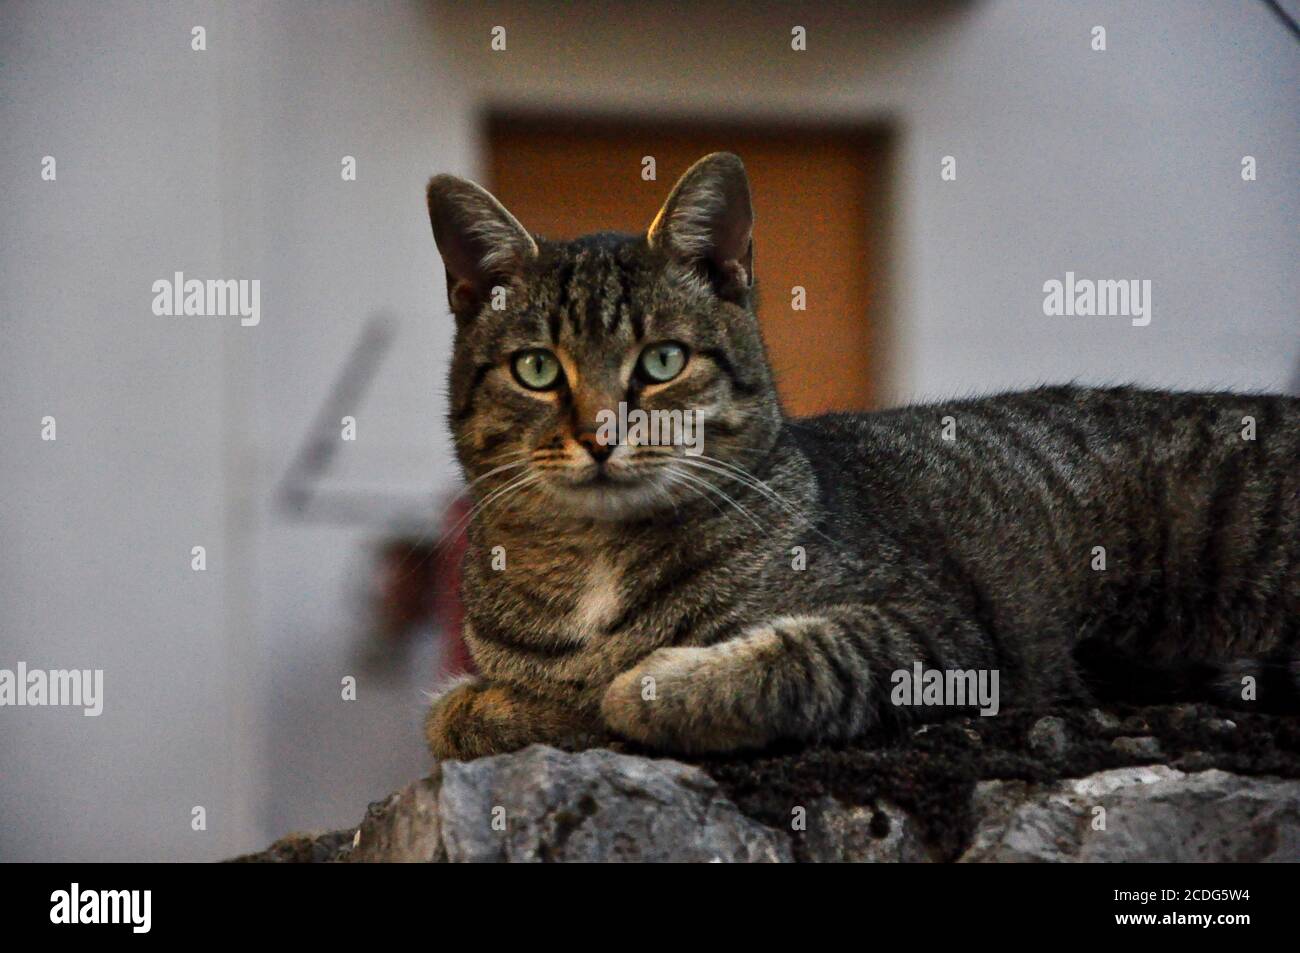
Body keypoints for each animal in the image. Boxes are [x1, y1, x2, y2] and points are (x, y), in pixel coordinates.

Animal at [421, 152, 1294, 759]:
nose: (602, 434)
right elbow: (469, 709)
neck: (596, 561)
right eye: (538, 369)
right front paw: (513, 702)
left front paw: (649, 685)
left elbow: (801, 655)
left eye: (663, 361)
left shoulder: (940, 635)